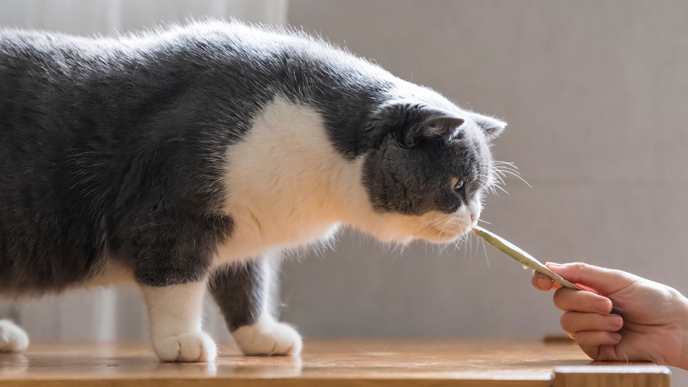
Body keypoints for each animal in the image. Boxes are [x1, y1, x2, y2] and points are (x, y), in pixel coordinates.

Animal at [0, 20, 506, 360]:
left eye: (478, 191)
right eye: (458, 185)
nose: (474, 217)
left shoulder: (247, 233)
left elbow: (246, 285)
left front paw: (260, 335)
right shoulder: (172, 215)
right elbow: (176, 283)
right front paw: (180, 342)